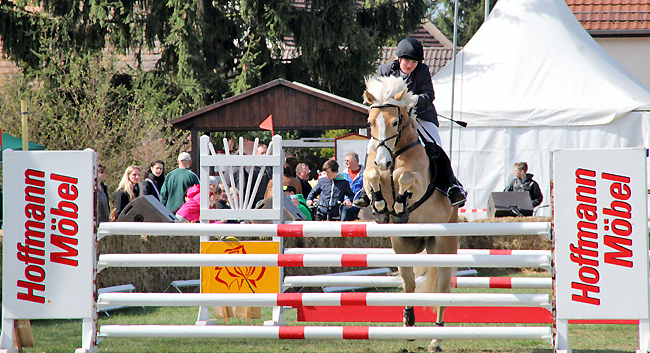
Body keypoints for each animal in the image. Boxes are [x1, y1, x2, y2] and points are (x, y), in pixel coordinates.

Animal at [362, 75, 458, 350]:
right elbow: (372, 175)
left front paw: (399, 203)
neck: (395, 152)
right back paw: (408, 322)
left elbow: (403, 176)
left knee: (443, 290)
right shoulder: (372, 172)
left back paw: (436, 339)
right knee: (409, 282)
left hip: (443, 245)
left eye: (395, 122)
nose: (382, 161)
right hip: (403, 246)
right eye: (370, 122)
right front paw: (380, 206)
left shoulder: (419, 181)